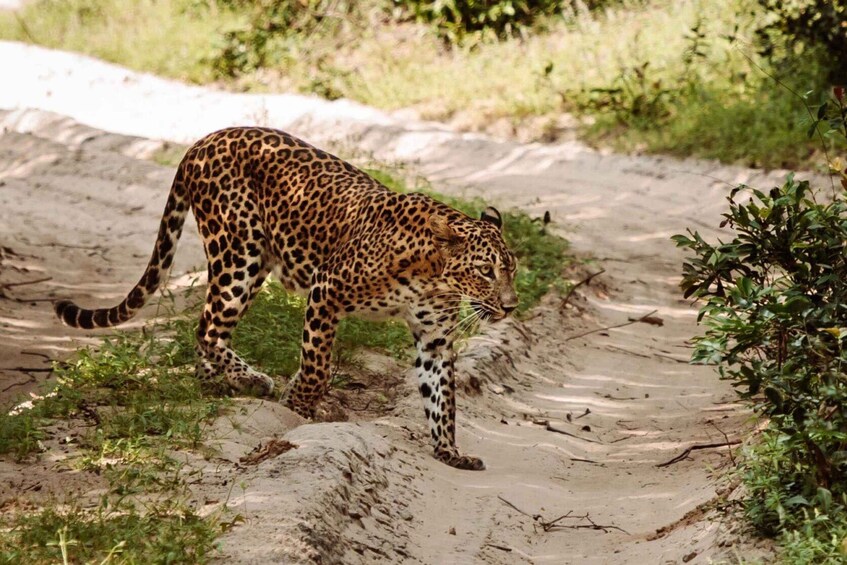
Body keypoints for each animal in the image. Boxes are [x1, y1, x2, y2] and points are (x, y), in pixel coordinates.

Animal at [55, 126, 519, 470]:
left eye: (511, 269)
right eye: (486, 270)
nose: (511, 306)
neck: (434, 276)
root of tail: (202, 141)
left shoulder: (434, 337)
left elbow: (442, 397)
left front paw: (449, 451)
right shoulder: (327, 290)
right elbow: (318, 365)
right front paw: (297, 401)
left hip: (251, 262)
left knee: (208, 326)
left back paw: (215, 382)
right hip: (238, 253)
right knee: (206, 327)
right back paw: (251, 379)